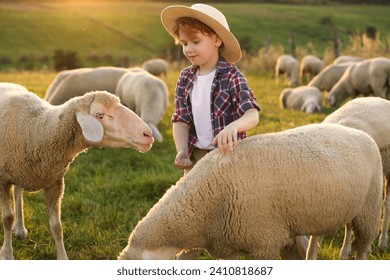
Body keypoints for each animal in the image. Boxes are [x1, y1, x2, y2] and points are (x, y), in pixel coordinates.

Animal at [0, 83, 155, 260]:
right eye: (100, 115)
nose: (147, 134)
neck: (37, 130)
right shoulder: (2, 180)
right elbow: (7, 218)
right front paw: (7, 254)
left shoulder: (55, 183)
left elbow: (56, 226)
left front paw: (62, 257)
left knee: (18, 192)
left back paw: (20, 228)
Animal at [117, 123, 382, 260]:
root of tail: (360, 133)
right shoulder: (227, 247)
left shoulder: (264, 243)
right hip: (348, 209)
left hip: (370, 209)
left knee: (363, 247)